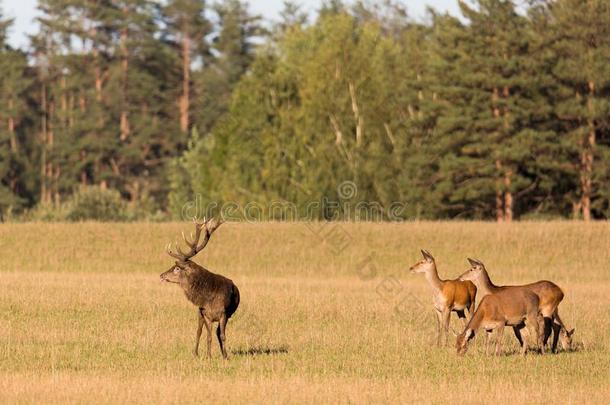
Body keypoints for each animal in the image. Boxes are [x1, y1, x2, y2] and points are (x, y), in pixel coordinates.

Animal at [159, 216, 240, 358]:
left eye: (176, 268)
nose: (162, 275)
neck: (209, 297)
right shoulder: (205, 313)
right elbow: (208, 336)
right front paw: (209, 356)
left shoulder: (224, 314)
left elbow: (222, 336)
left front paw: (225, 356)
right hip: (199, 313)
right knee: (199, 331)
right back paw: (195, 353)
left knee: (217, 333)